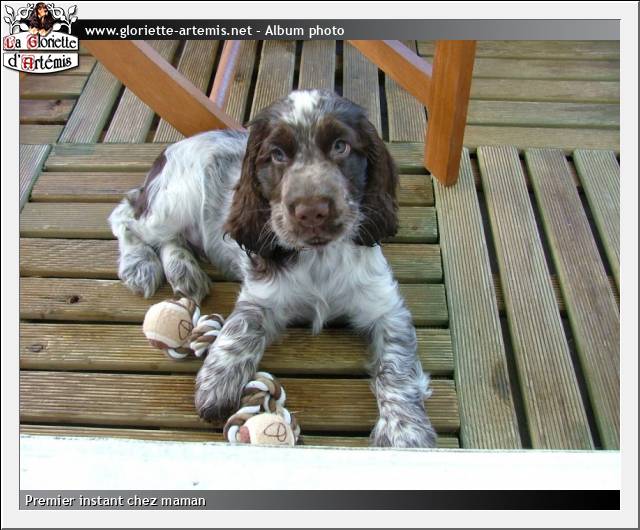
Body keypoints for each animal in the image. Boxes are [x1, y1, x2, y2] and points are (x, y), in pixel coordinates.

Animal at [109, 89, 436, 447]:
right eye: (277, 155)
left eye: (341, 146)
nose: (312, 211)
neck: (318, 257)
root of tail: (168, 150)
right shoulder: (261, 295)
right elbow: (238, 333)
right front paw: (215, 387)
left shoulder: (386, 308)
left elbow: (397, 367)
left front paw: (405, 434)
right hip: (174, 201)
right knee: (125, 213)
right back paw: (139, 265)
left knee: (166, 237)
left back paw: (185, 272)